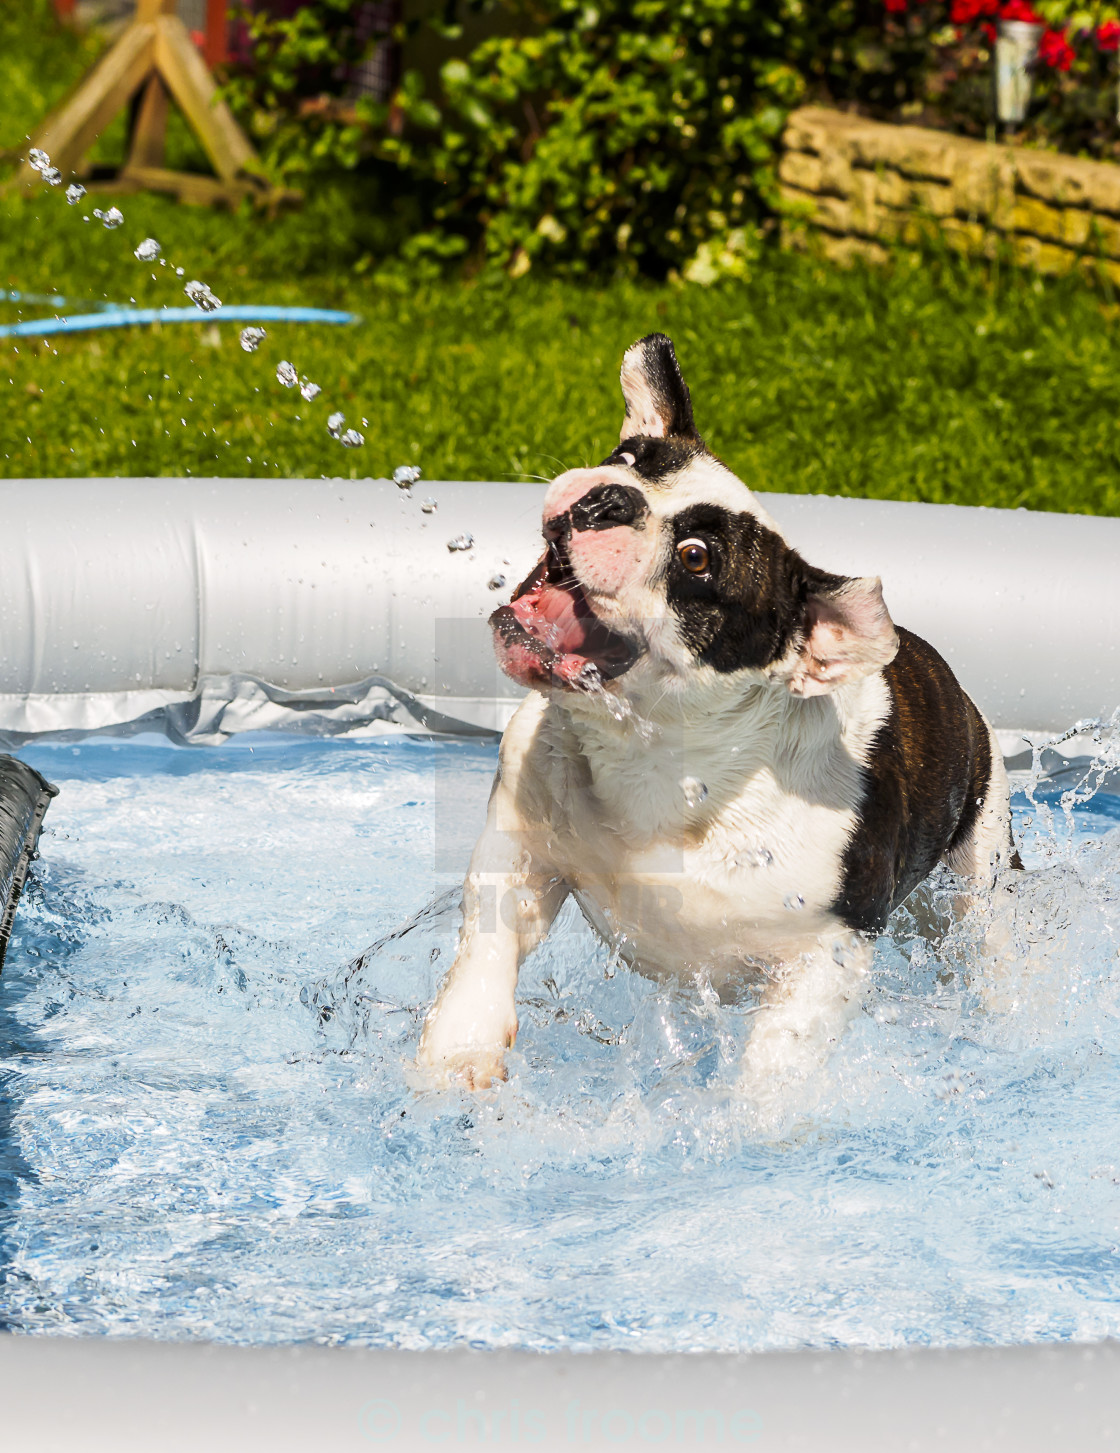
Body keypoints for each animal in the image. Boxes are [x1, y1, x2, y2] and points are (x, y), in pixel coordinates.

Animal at [415, 334, 1022, 1092]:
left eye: (696, 558)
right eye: (629, 460)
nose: (609, 496)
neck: (659, 759)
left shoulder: (826, 956)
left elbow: (774, 1062)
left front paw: (743, 1118)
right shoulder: (520, 843)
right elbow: (489, 940)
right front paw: (459, 1049)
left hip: (979, 864)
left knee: (984, 940)